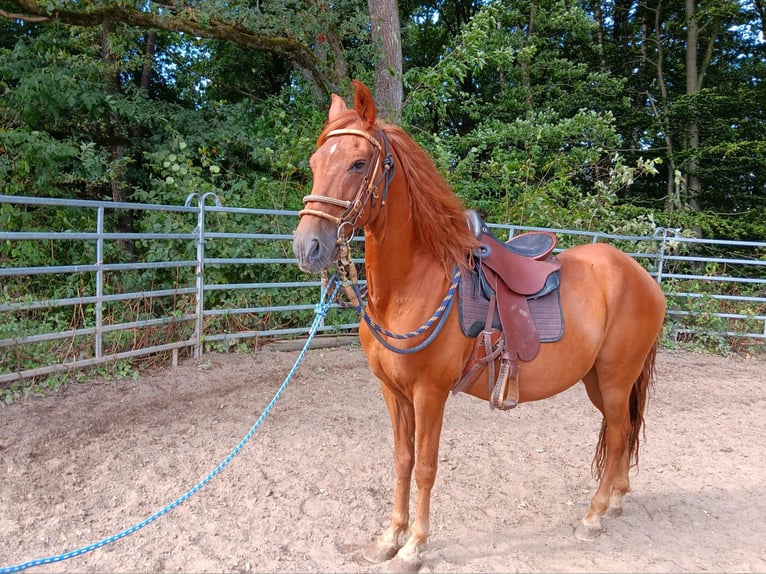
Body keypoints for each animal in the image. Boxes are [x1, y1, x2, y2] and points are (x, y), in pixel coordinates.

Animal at [292, 80, 666, 573]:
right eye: (315, 163)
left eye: (357, 163)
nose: (307, 246)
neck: (412, 285)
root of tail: (643, 276)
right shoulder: (393, 393)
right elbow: (402, 460)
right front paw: (388, 537)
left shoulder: (429, 393)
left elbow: (426, 466)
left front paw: (414, 546)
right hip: (597, 381)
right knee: (619, 432)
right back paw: (616, 501)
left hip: (616, 376)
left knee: (621, 433)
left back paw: (593, 516)